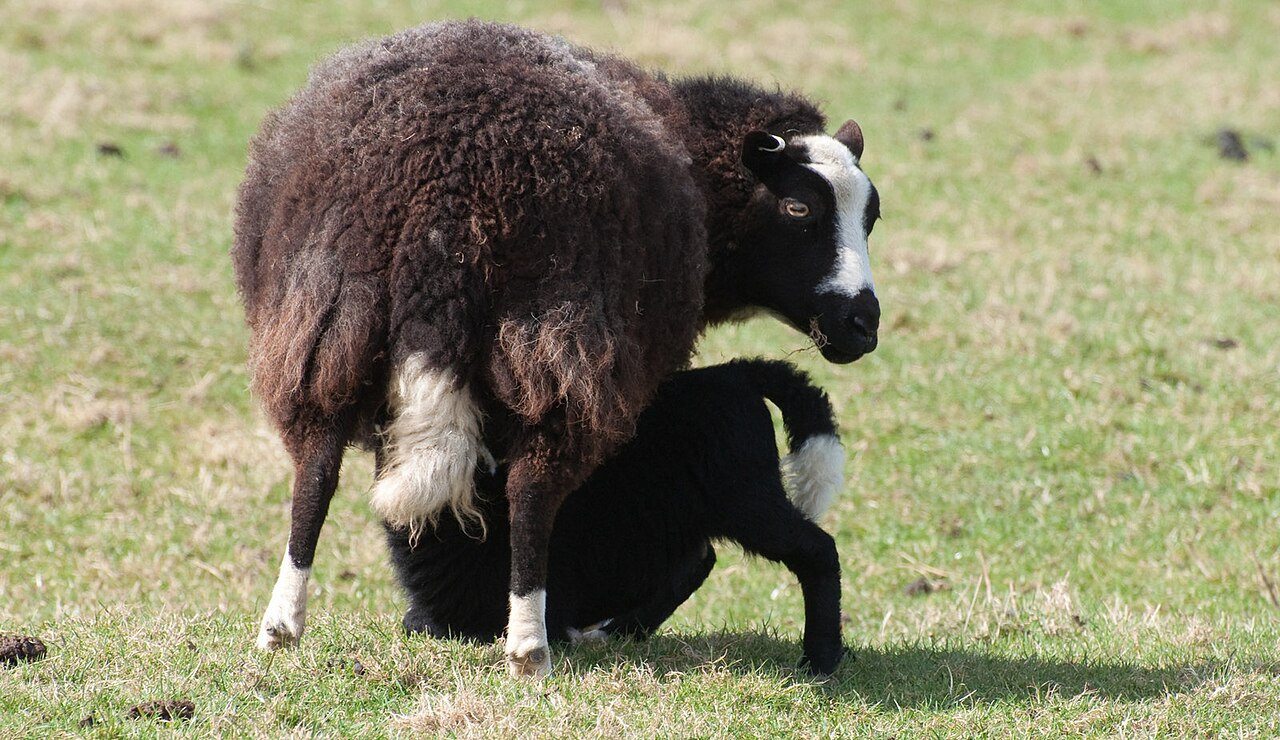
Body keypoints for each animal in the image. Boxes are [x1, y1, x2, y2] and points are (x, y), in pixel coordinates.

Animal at [385, 358, 848, 676]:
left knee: (818, 550)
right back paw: (615, 633)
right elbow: (415, 622)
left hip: (749, 502)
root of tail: (735, 372)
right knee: (697, 563)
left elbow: (425, 624)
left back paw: (820, 661)